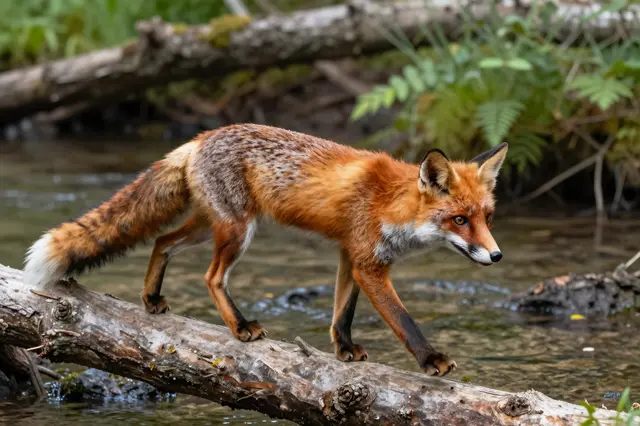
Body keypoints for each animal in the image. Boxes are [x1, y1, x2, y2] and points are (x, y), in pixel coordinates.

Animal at [23, 123, 508, 377]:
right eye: (459, 220)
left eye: (487, 216)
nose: (497, 256)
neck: (392, 203)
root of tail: (200, 138)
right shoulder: (369, 264)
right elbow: (404, 321)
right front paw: (431, 359)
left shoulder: (350, 256)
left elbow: (341, 312)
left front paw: (344, 349)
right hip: (238, 232)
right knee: (211, 276)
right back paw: (240, 327)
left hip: (209, 227)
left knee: (162, 241)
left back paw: (152, 297)